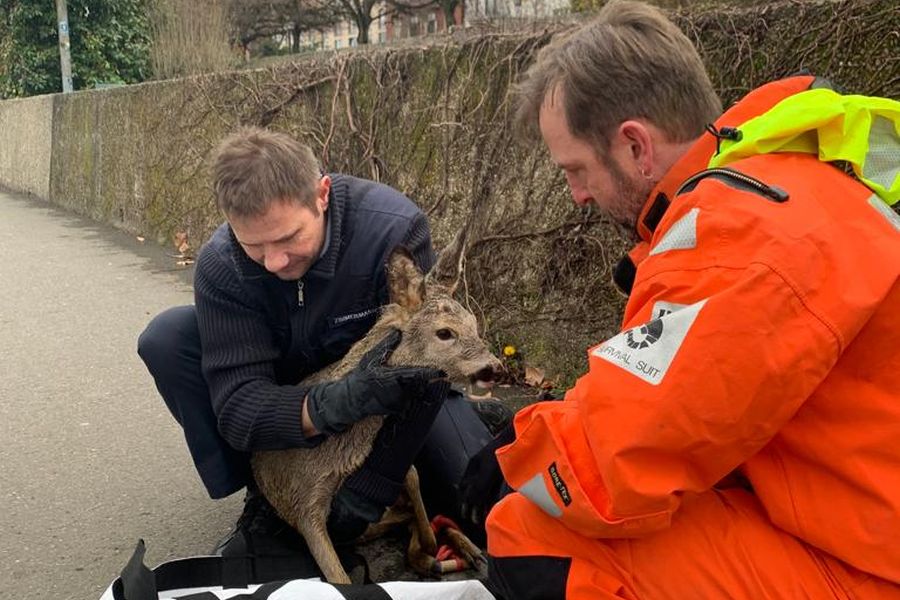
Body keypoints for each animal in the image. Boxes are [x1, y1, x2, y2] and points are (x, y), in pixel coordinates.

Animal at [250, 246, 502, 584]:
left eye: (474, 322)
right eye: (444, 332)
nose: (494, 368)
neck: (334, 453)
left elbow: (411, 475)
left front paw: (432, 542)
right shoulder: (303, 504)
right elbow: (338, 579)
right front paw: (430, 547)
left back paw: (462, 550)